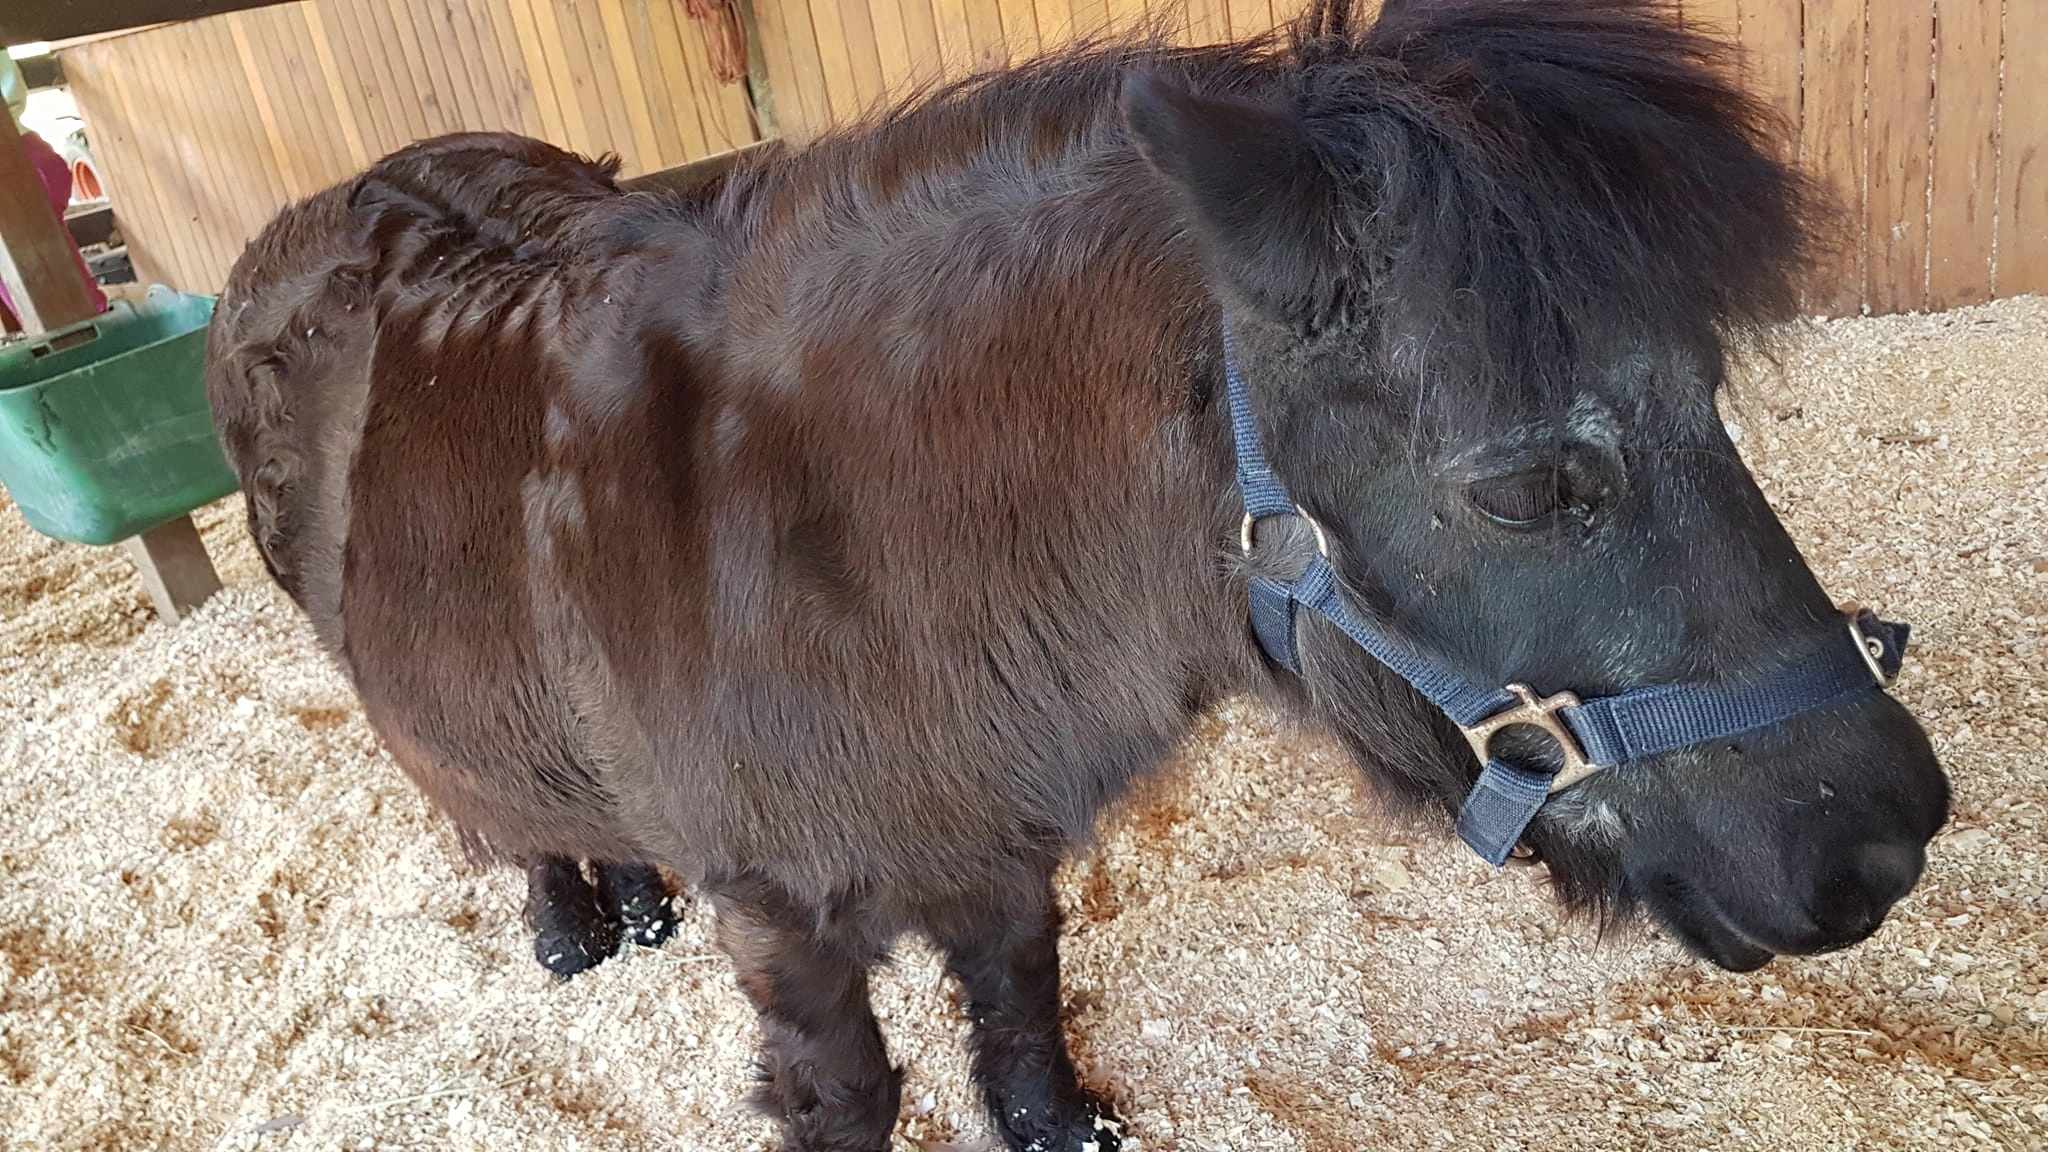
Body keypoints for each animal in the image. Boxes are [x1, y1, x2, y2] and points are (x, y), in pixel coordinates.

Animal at [204, 1, 1950, 1148]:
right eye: (1523, 489)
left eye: (1709, 394)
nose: (1888, 835)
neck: (831, 548)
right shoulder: (783, 924)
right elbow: (850, 1093)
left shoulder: (1000, 835)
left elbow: (1022, 1003)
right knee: (479, 807)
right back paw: (572, 922)